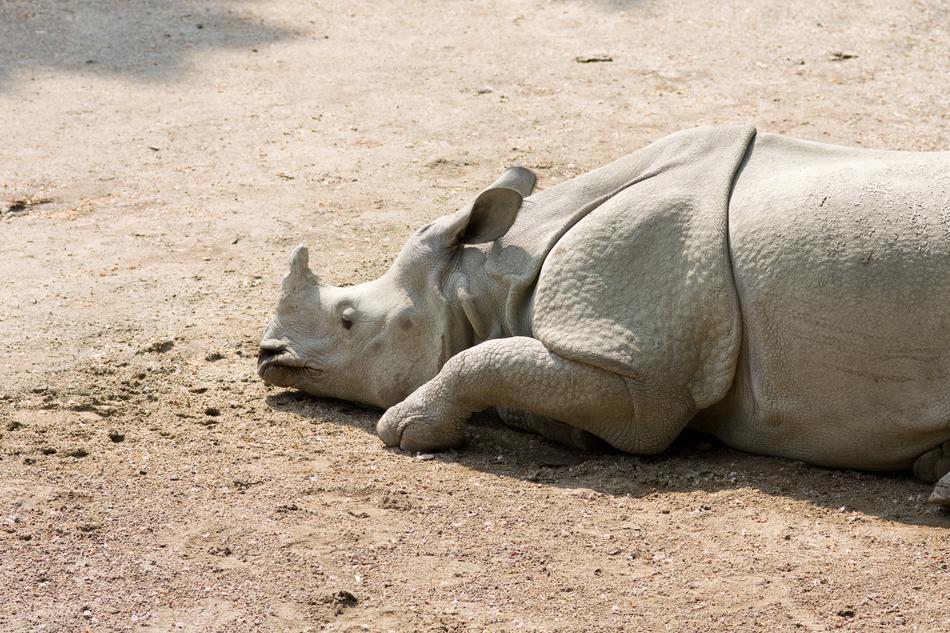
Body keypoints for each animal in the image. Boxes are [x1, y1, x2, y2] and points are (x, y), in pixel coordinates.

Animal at [258, 124, 950, 507]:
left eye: (349, 319)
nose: (268, 355)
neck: (484, 283)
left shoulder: (642, 373)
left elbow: (481, 359)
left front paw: (406, 430)